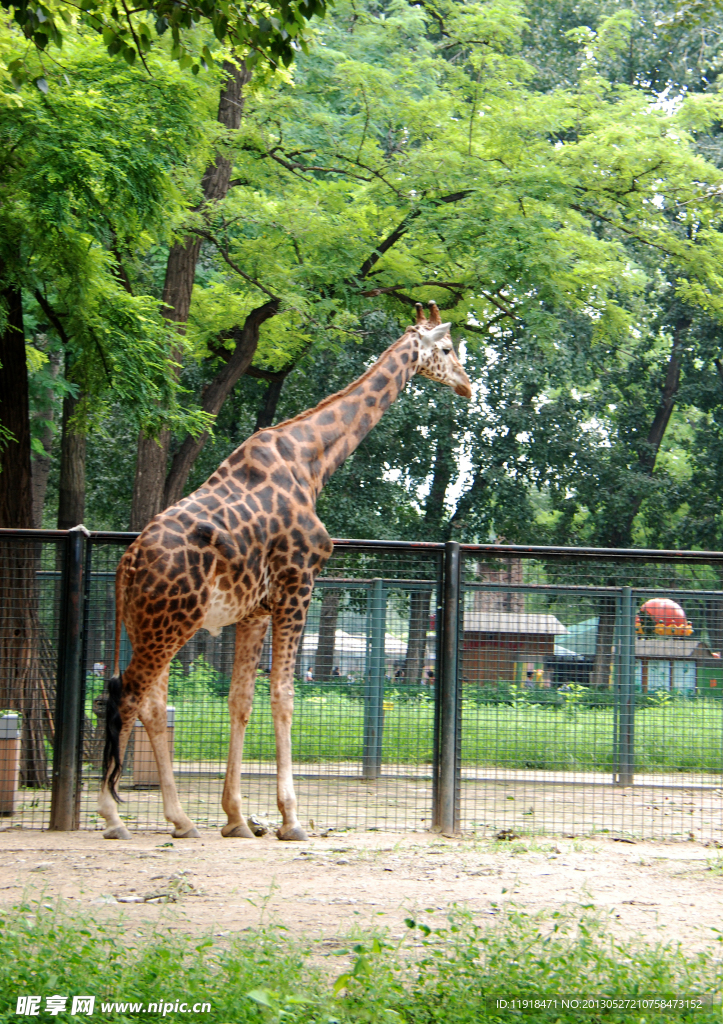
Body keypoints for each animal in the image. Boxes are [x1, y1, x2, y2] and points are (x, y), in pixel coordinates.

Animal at [98, 301, 471, 839]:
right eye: (445, 348)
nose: (467, 386)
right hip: (170, 624)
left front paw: (236, 818)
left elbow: (240, 701)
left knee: (149, 702)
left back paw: (182, 819)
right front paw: (290, 818)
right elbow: (284, 696)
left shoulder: (254, 609)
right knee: (128, 696)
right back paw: (112, 817)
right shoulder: (299, 585)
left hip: (150, 624)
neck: (313, 460)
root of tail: (125, 566)